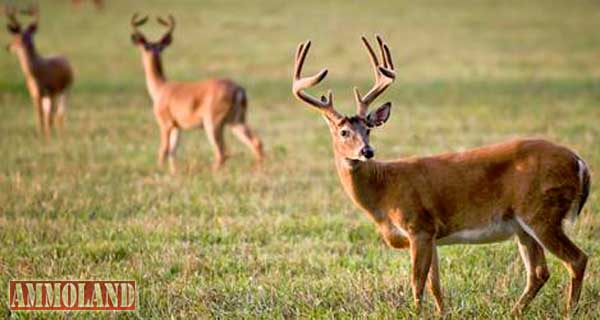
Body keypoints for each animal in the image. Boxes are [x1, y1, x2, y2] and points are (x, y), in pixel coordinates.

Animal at [5, 3, 73, 139]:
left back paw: (60, 135)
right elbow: (40, 118)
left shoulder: (50, 92)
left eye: (16, 37)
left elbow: (47, 118)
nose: (8, 47)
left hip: (64, 91)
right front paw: (41, 136)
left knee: (59, 115)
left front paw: (45, 138)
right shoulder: (35, 94)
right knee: (53, 116)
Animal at [130, 13, 264, 172]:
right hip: (236, 121)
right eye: (147, 46)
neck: (161, 88)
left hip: (213, 123)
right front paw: (174, 173)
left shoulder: (165, 123)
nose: (152, 51)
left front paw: (160, 171)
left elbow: (163, 150)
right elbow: (173, 151)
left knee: (222, 152)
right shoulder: (177, 126)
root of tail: (239, 90)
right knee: (256, 142)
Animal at [290, 35, 592, 316]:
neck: (384, 189)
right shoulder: (432, 234)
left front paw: (415, 314)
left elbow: (417, 283)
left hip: (541, 212)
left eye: (368, 129)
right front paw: (441, 314)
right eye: (344, 132)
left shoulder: (418, 225)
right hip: (523, 225)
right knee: (539, 272)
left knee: (576, 259)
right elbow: (435, 285)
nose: (367, 151)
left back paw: (568, 312)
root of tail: (580, 162)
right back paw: (514, 312)